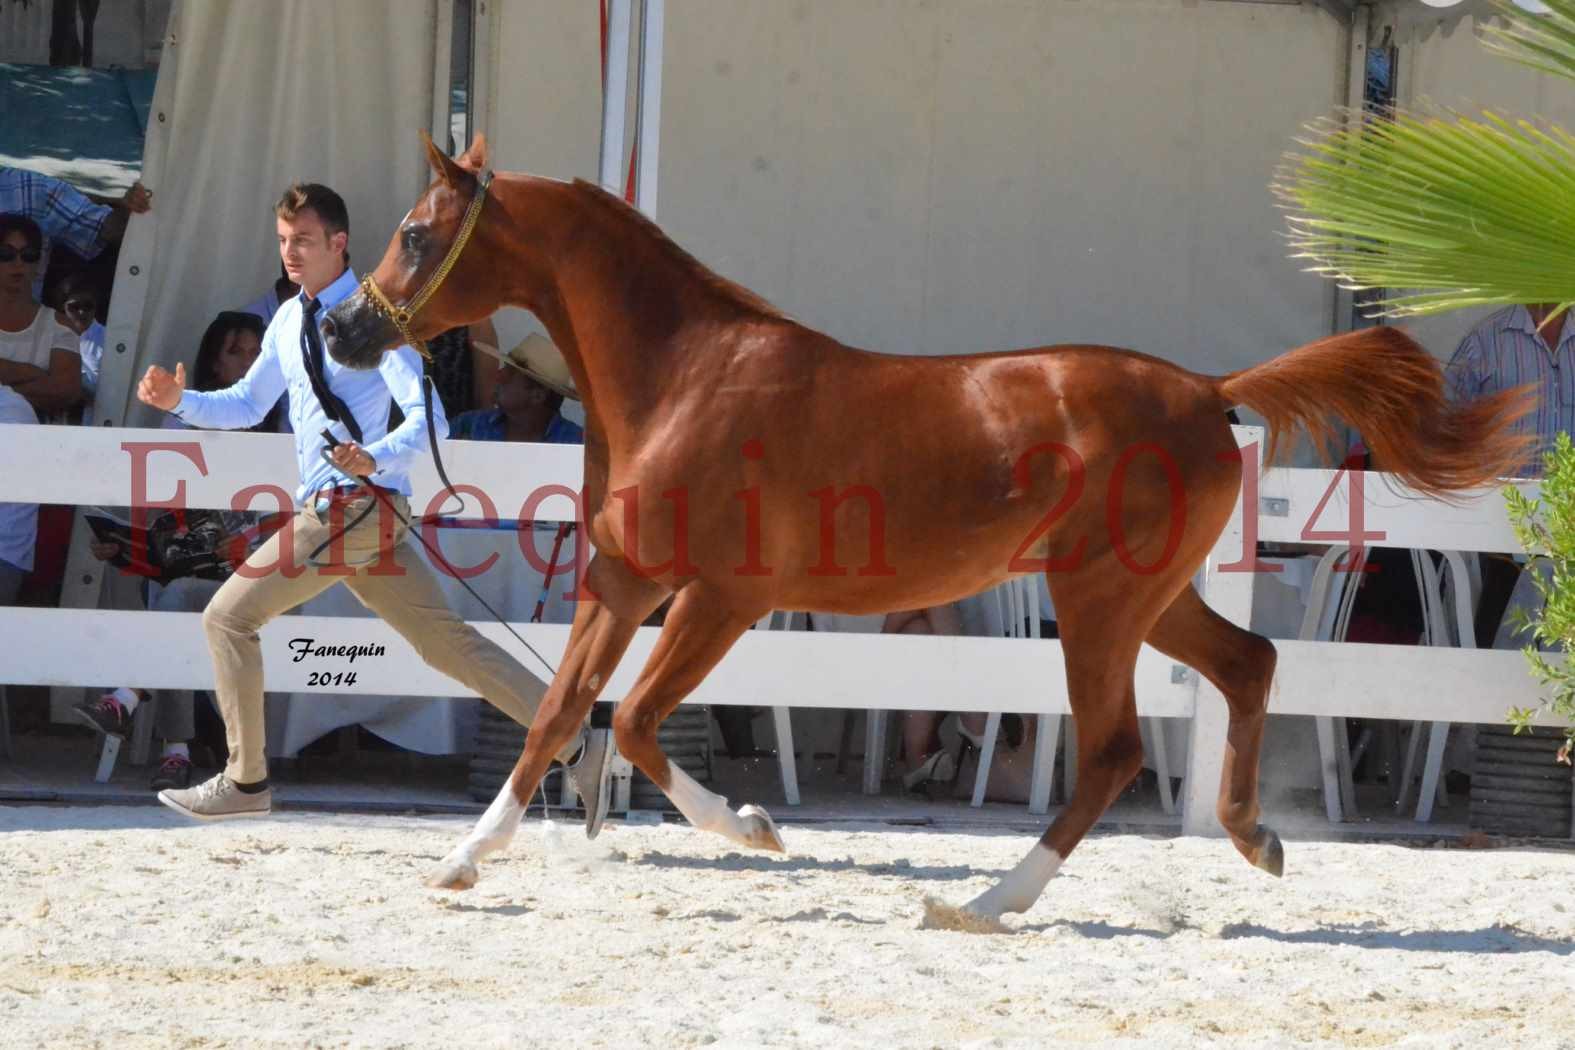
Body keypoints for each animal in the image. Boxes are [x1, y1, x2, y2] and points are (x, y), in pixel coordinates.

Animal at [322, 135, 1524, 925]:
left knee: (1117, 748)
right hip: (1150, 597)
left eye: (417, 234)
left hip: (1098, 604)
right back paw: (1254, 838)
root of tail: (1205, 390)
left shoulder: (722, 599)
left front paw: (755, 826)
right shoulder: (621, 586)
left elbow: (639, 727)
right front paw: (463, 860)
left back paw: (991, 900)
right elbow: (556, 715)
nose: (341, 332)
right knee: (1249, 662)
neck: (680, 378)